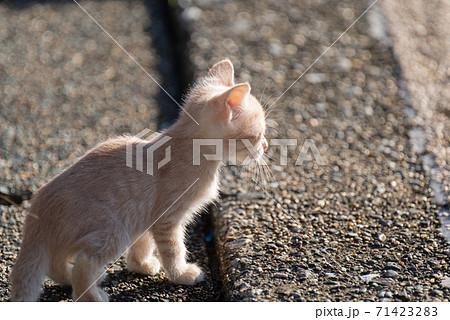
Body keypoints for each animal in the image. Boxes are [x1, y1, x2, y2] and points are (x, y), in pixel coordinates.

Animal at [10, 60, 268, 302]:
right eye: (257, 134)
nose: (265, 146)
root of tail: (37, 214)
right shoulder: (167, 218)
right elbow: (174, 249)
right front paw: (181, 274)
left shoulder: (145, 214)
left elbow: (144, 242)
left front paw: (140, 264)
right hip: (114, 230)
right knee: (84, 263)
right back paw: (91, 296)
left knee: (55, 263)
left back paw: (72, 278)